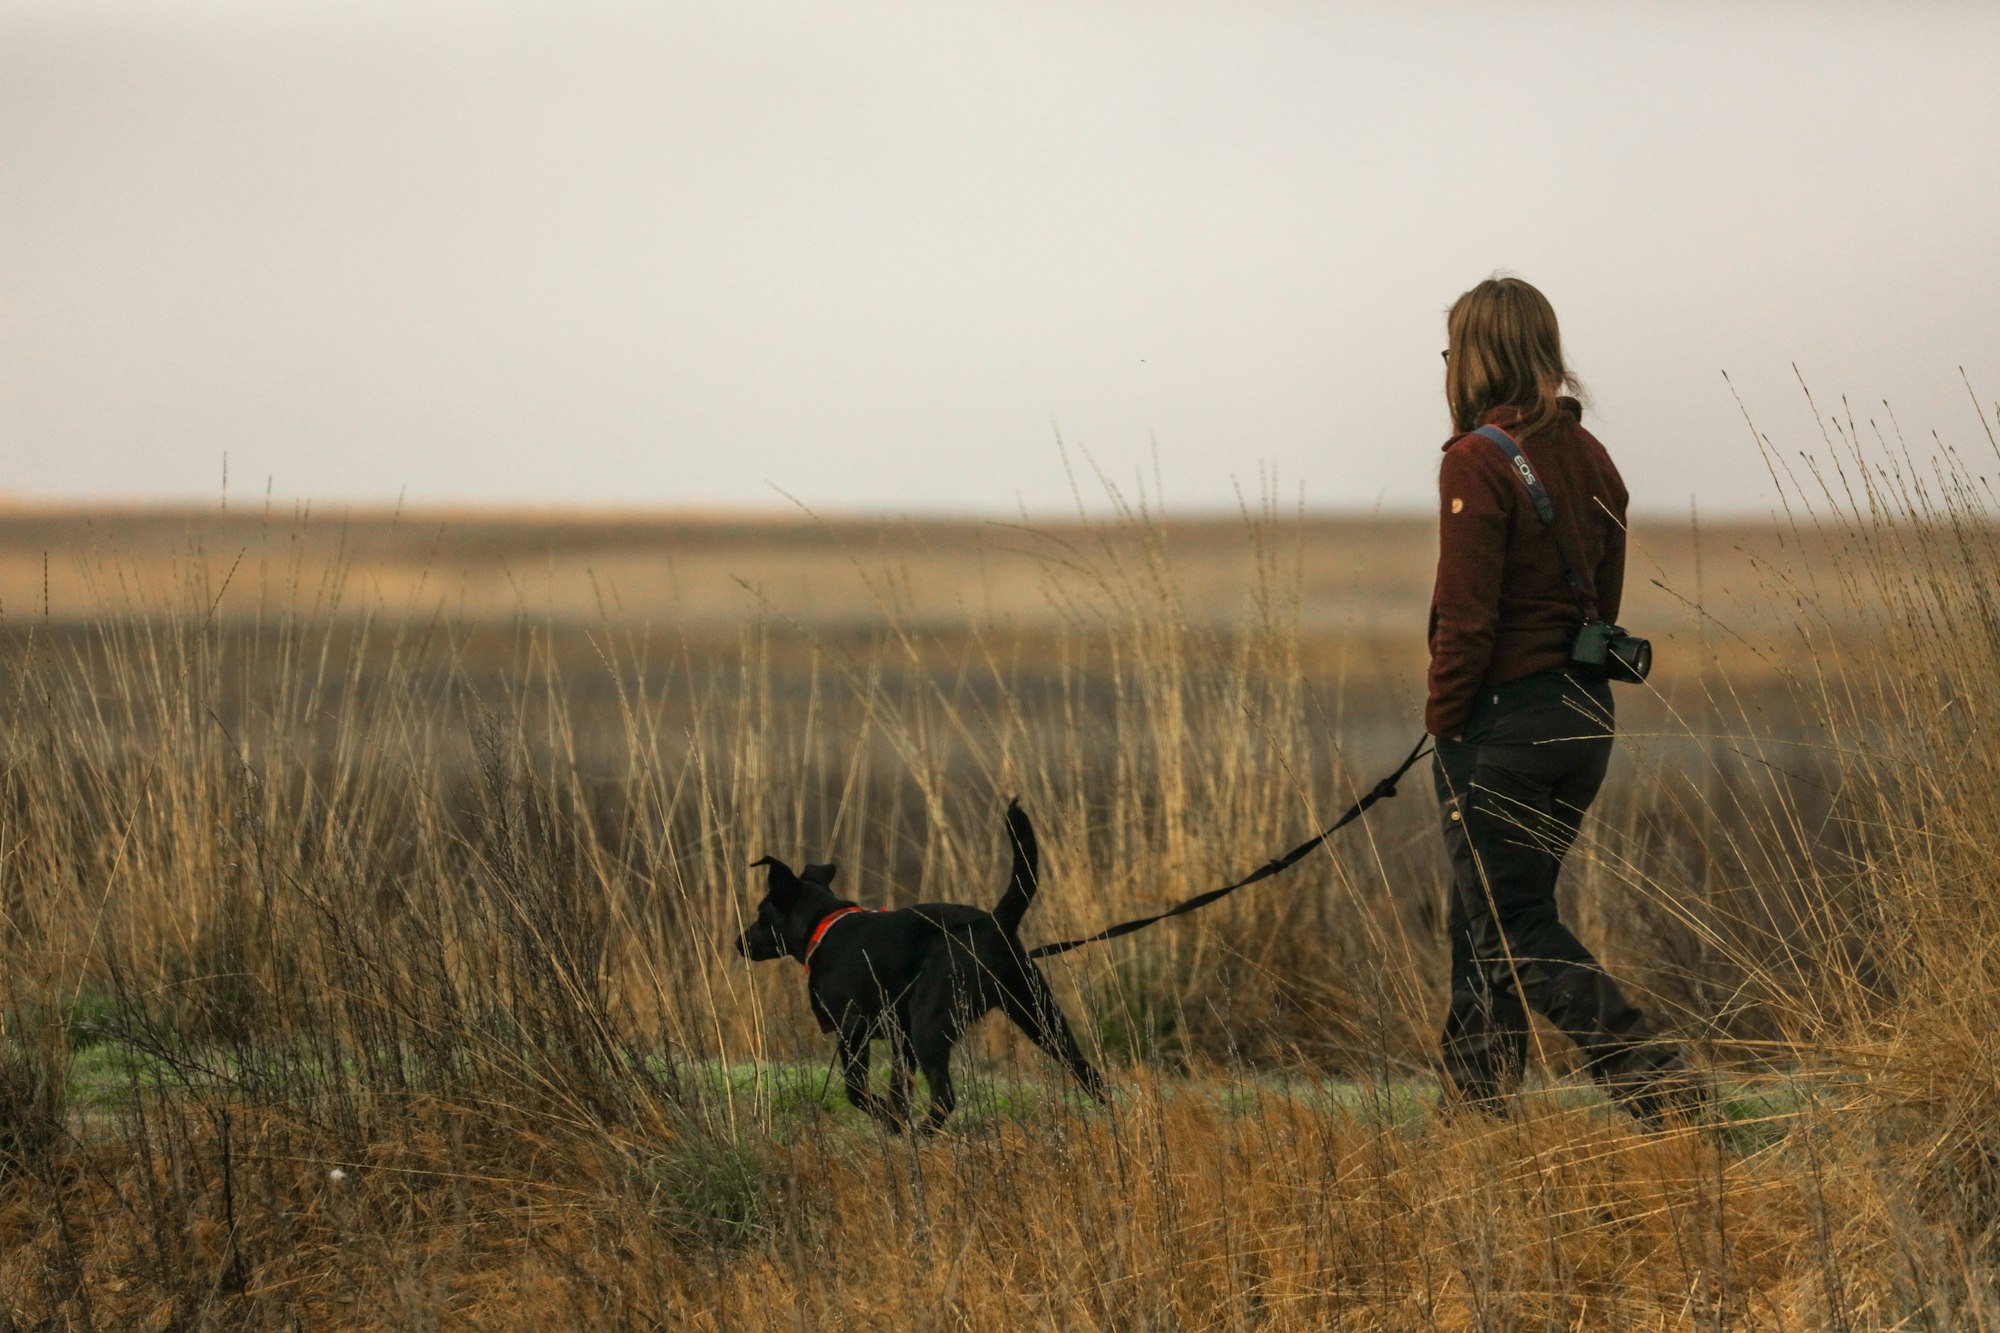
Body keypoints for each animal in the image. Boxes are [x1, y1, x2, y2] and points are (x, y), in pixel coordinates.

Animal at [736, 792, 1112, 1128]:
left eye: (763, 913)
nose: (739, 942)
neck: (824, 925)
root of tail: (994, 922)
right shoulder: (901, 1040)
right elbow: (898, 1090)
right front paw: (897, 1123)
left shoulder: (853, 1028)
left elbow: (856, 1090)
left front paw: (889, 1120)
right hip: (1038, 1015)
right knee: (1088, 1072)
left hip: (930, 1023)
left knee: (945, 1097)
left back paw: (925, 1131)